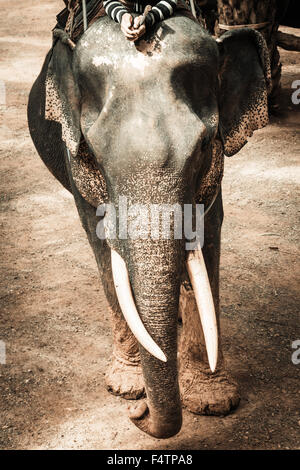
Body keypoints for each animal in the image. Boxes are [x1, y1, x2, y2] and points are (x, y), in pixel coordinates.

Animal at [28, 15, 272, 440]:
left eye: (205, 145)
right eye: (93, 150)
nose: (138, 413)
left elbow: (207, 242)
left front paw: (212, 401)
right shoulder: (76, 167)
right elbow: (103, 251)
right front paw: (127, 387)